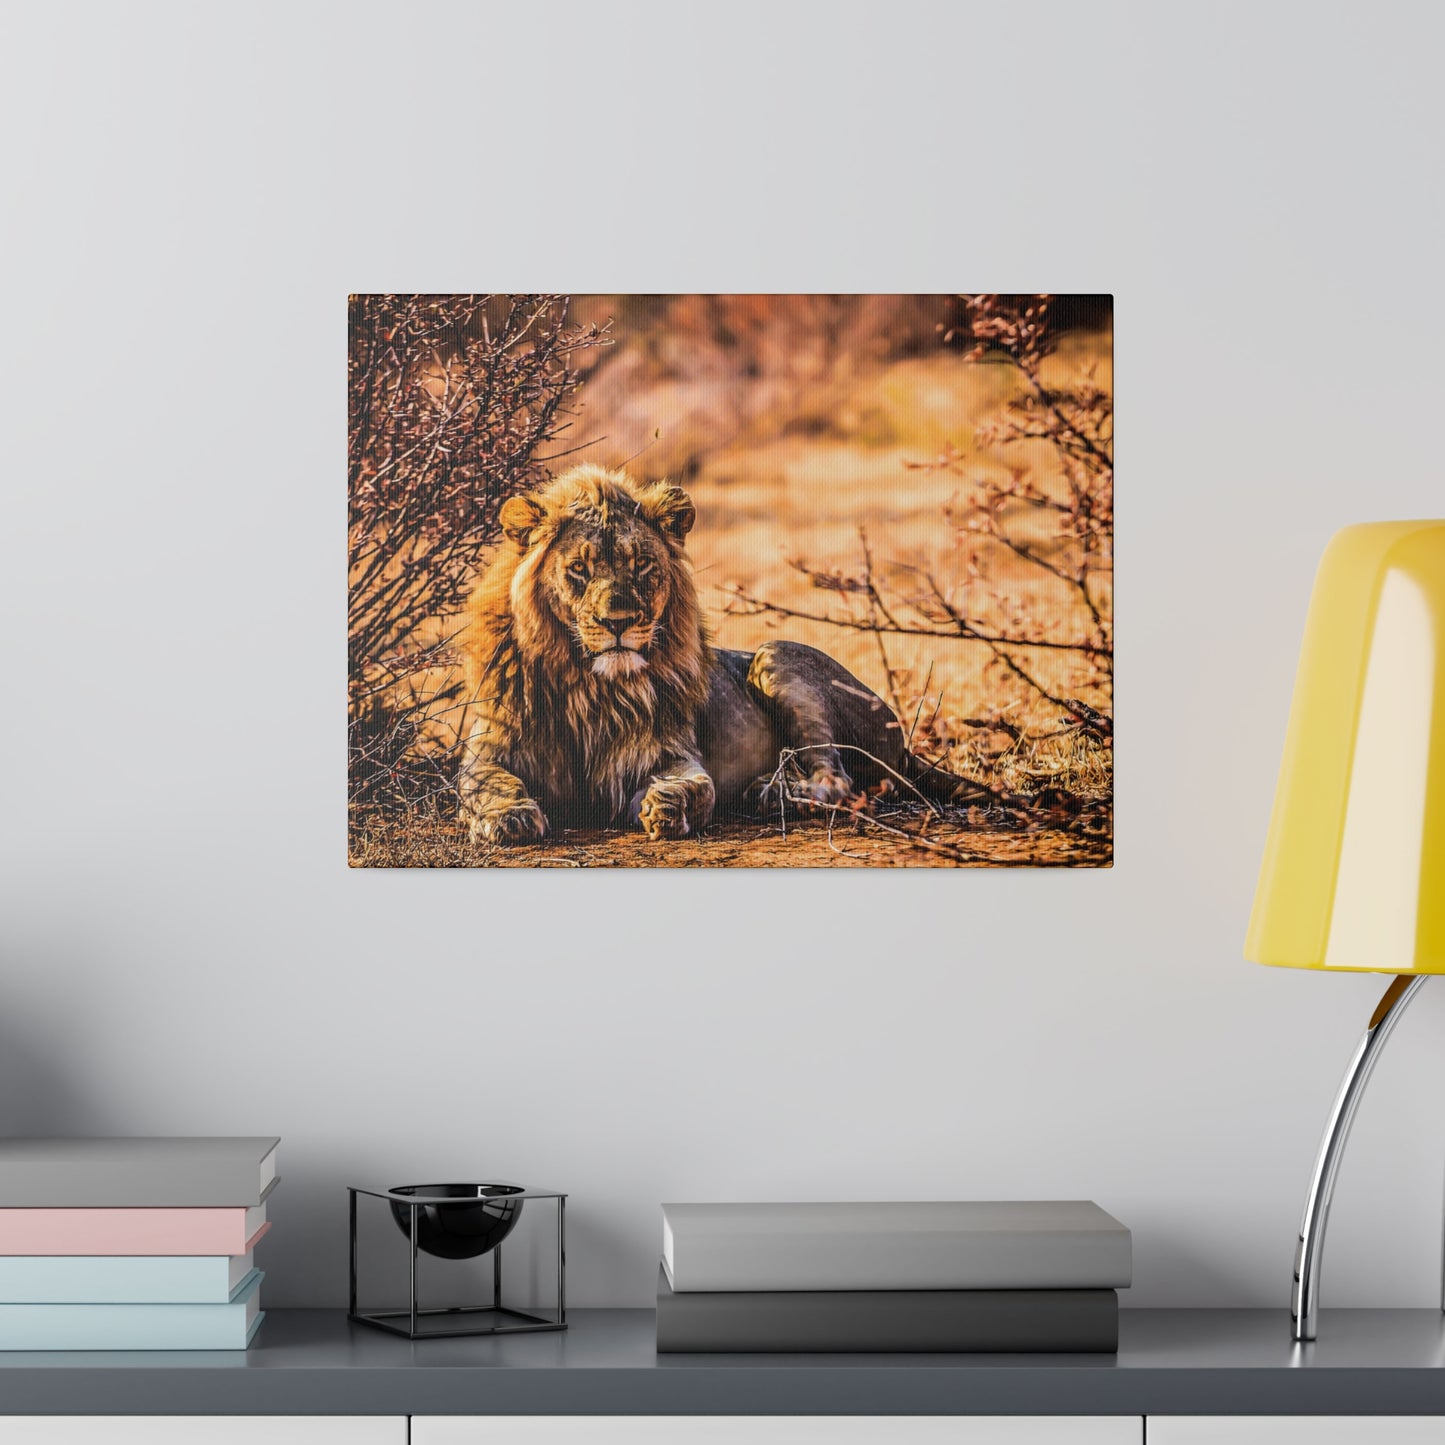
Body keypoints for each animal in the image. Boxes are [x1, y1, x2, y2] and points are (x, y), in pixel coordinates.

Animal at [456, 462, 988, 843]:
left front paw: (668, 807)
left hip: (776, 656)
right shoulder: (488, 749)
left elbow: (701, 786)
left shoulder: (667, 753)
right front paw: (509, 817)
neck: (590, 685)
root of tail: (904, 743)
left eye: (642, 564)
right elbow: (485, 784)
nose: (618, 623)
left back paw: (772, 794)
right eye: (579, 570)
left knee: (839, 782)